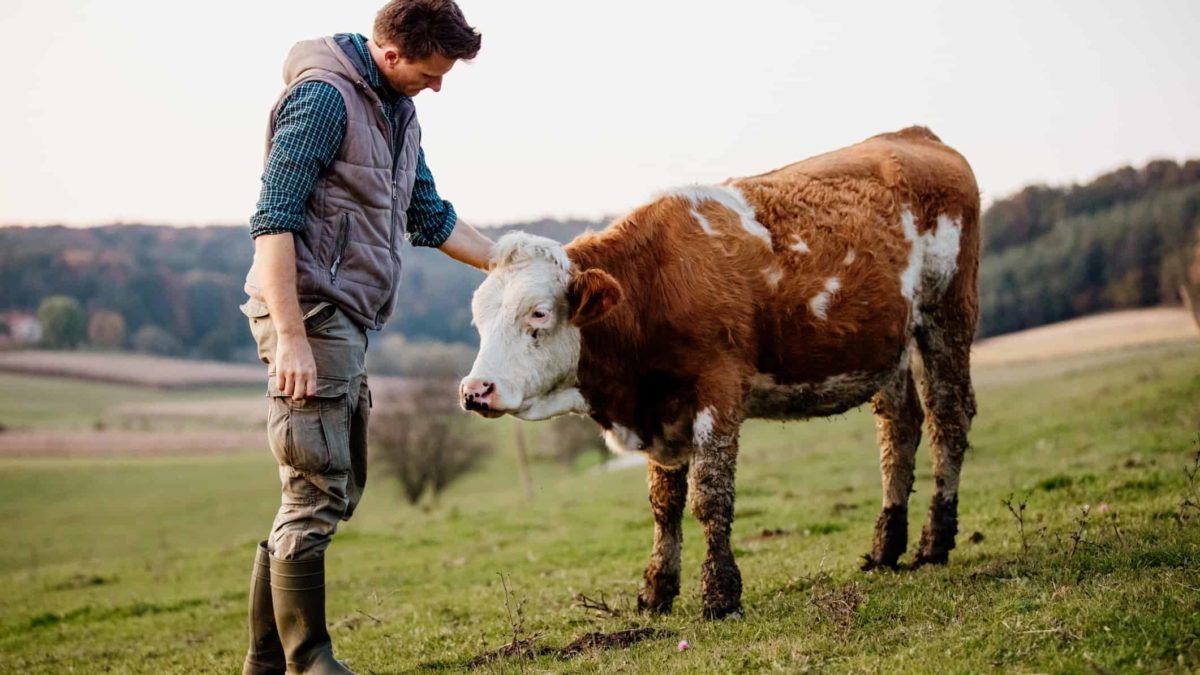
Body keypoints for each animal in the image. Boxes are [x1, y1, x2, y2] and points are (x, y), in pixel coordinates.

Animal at [460, 126, 980, 620]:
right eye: (479, 319)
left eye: (539, 313)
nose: (475, 390)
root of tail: (912, 135)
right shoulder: (663, 411)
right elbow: (664, 503)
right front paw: (657, 590)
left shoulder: (719, 386)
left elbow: (710, 496)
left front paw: (720, 595)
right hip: (888, 347)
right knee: (899, 431)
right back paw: (886, 547)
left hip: (947, 313)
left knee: (949, 419)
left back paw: (934, 543)